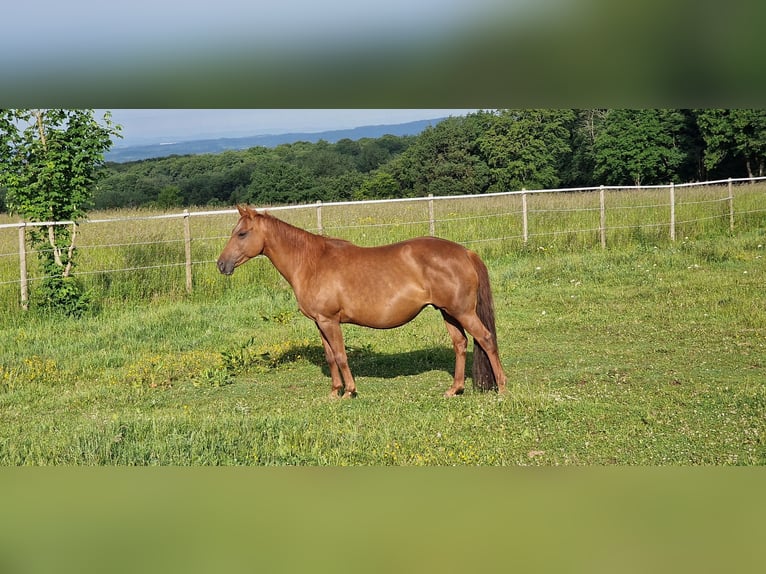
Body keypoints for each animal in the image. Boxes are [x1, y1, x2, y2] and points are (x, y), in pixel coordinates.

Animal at [217, 205, 507, 398]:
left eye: (242, 234)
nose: (221, 264)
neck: (311, 262)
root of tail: (465, 252)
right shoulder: (320, 323)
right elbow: (330, 357)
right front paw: (334, 392)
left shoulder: (330, 321)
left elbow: (341, 356)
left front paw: (349, 391)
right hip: (448, 312)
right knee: (460, 344)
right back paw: (454, 389)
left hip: (463, 312)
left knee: (486, 339)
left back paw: (502, 387)